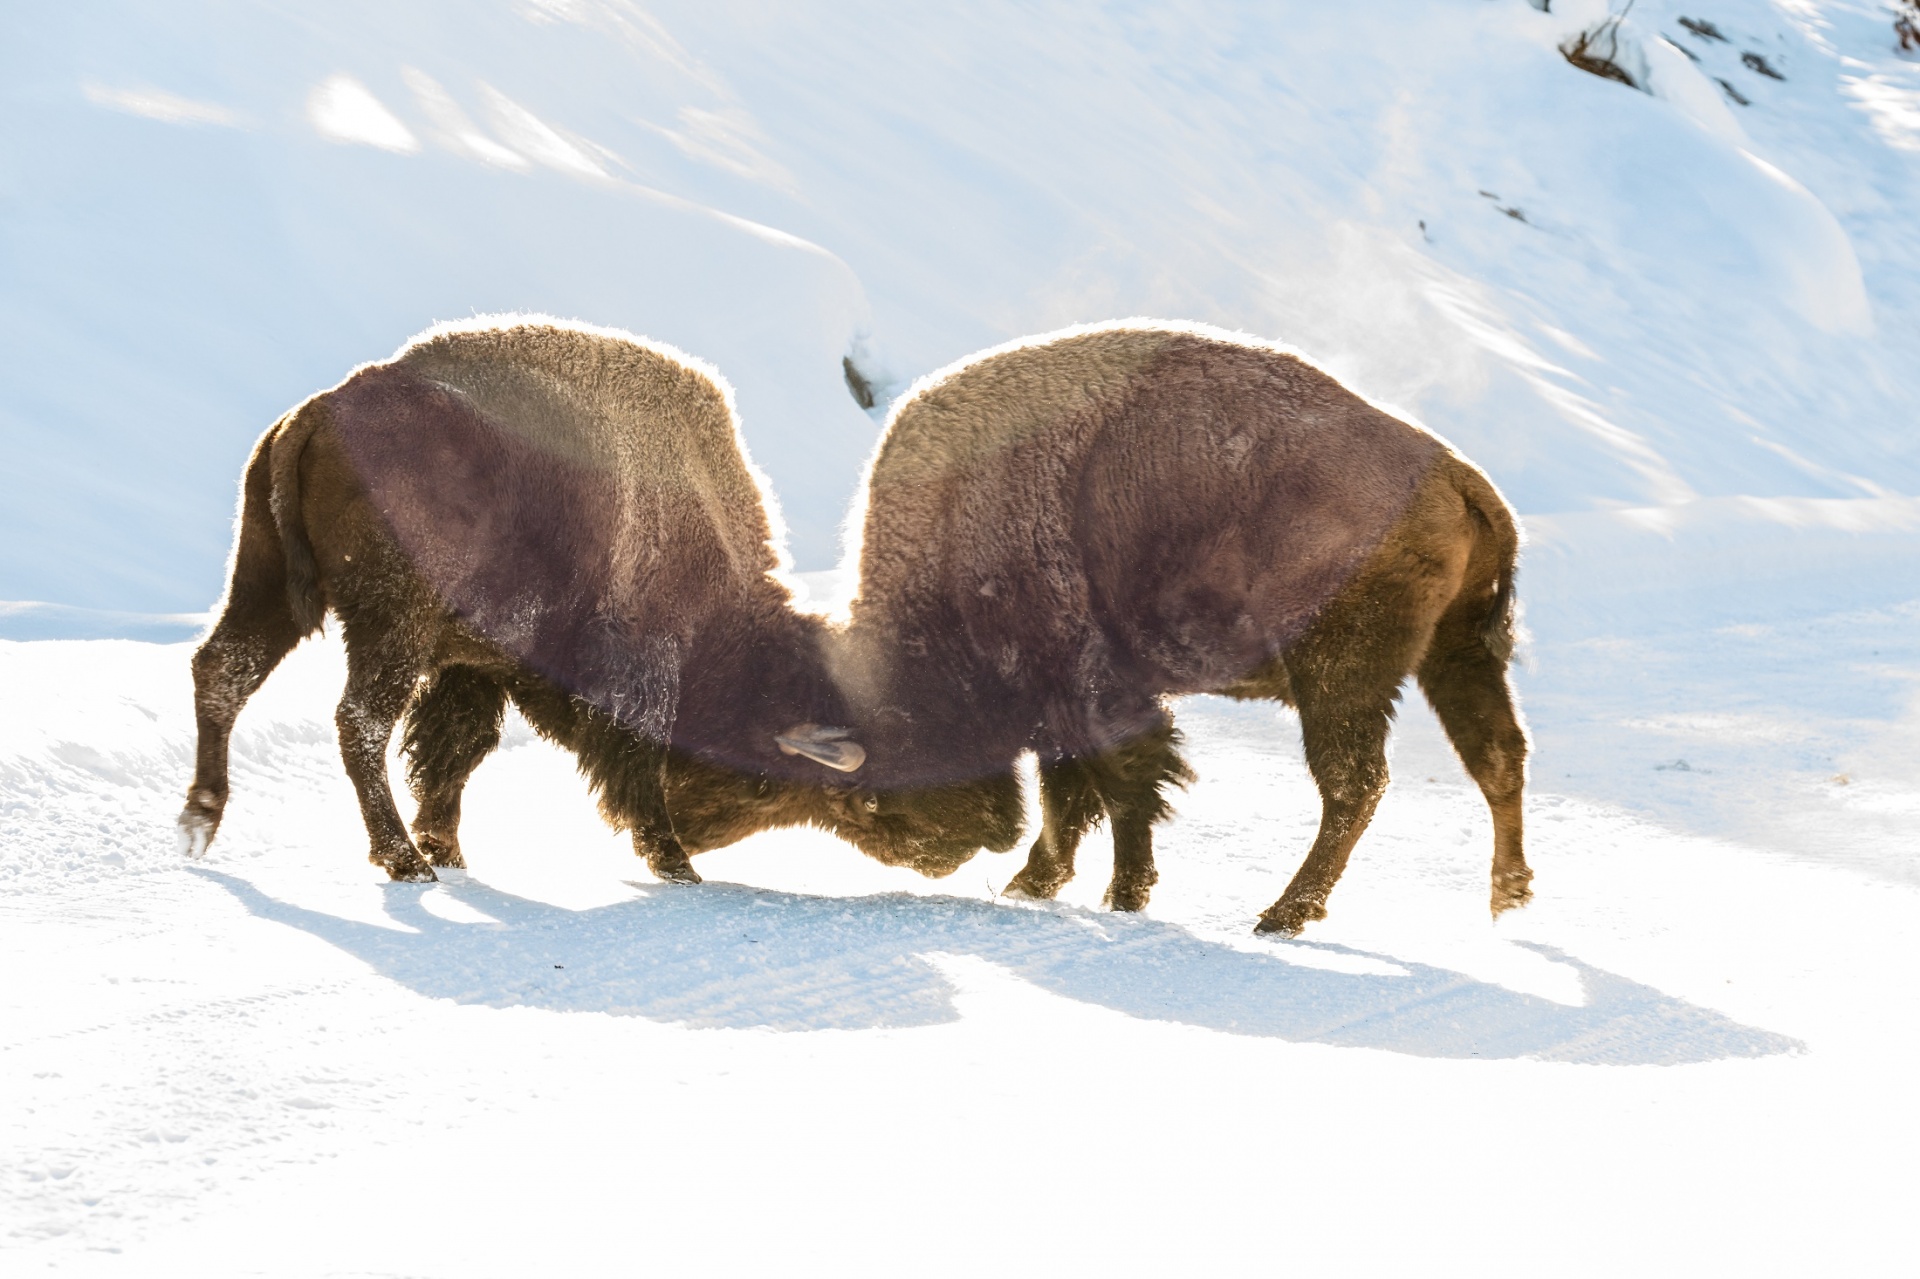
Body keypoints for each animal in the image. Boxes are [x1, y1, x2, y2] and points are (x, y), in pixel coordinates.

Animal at [178, 313, 1021, 883]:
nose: (985, 834)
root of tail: (320, 411)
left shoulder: (470, 667)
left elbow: (455, 751)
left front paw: (452, 848)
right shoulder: (632, 670)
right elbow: (624, 761)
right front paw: (674, 863)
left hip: (268, 587)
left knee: (225, 671)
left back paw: (202, 823)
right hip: (389, 626)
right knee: (356, 721)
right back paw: (399, 859)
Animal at [821, 324, 1528, 933]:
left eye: (878, 786)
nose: (933, 857)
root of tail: (1456, 477)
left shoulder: (1087, 687)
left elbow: (1119, 790)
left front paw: (1119, 896)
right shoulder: (1068, 706)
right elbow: (1071, 795)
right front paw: (1037, 883)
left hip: (1338, 671)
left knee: (1355, 785)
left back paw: (1282, 916)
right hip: (1452, 656)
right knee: (1496, 756)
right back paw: (1508, 902)